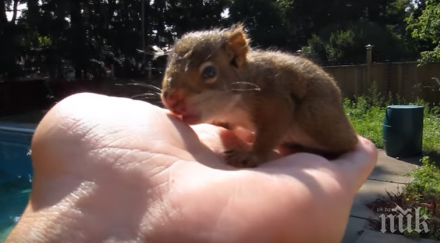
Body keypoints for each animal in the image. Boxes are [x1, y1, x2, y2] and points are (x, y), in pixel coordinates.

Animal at [160, 23, 360, 168]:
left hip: (314, 117)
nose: (170, 99)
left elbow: (268, 135)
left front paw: (250, 155)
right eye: (166, 67)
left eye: (209, 72)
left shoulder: (276, 101)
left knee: (347, 144)